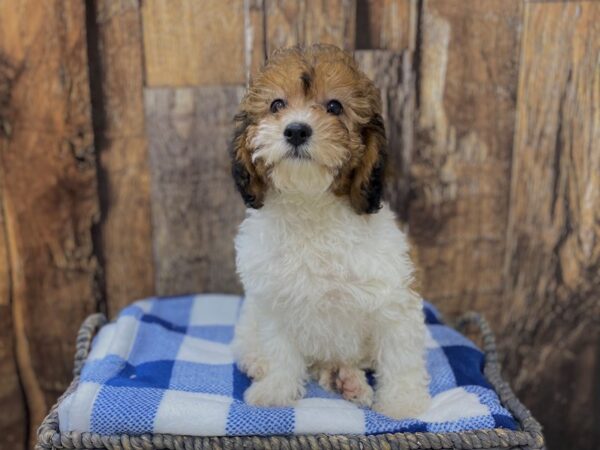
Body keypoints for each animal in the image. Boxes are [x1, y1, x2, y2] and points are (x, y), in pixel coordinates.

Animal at [230, 44, 432, 418]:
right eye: (276, 105)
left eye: (335, 106)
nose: (296, 130)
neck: (311, 205)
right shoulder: (274, 303)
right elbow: (280, 351)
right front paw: (276, 390)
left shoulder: (393, 300)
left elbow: (400, 356)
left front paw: (402, 403)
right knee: (249, 344)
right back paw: (261, 363)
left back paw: (347, 380)